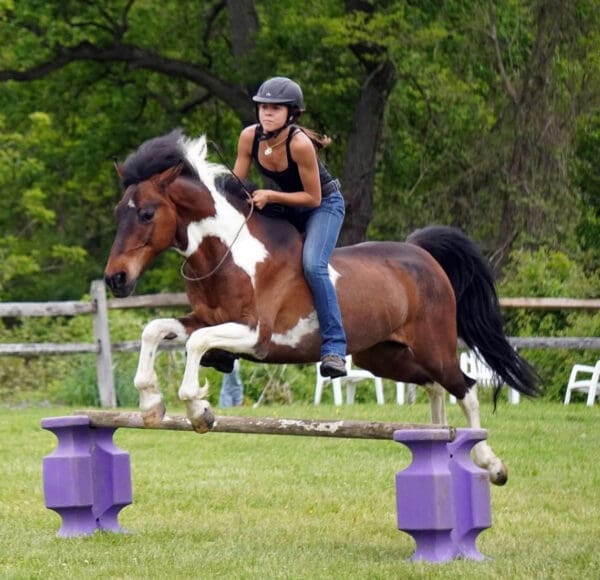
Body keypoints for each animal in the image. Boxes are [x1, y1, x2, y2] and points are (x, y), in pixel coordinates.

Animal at [103, 130, 540, 484]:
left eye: (147, 214)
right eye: (117, 213)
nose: (115, 279)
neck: (229, 252)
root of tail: (421, 254)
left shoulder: (255, 335)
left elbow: (195, 347)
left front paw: (198, 409)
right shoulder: (203, 320)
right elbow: (154, 330)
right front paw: (151, 404)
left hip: (433, 345)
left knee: (465, 387)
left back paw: (490, 463)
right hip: (384, 355)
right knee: (434, 386)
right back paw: (439, 442)